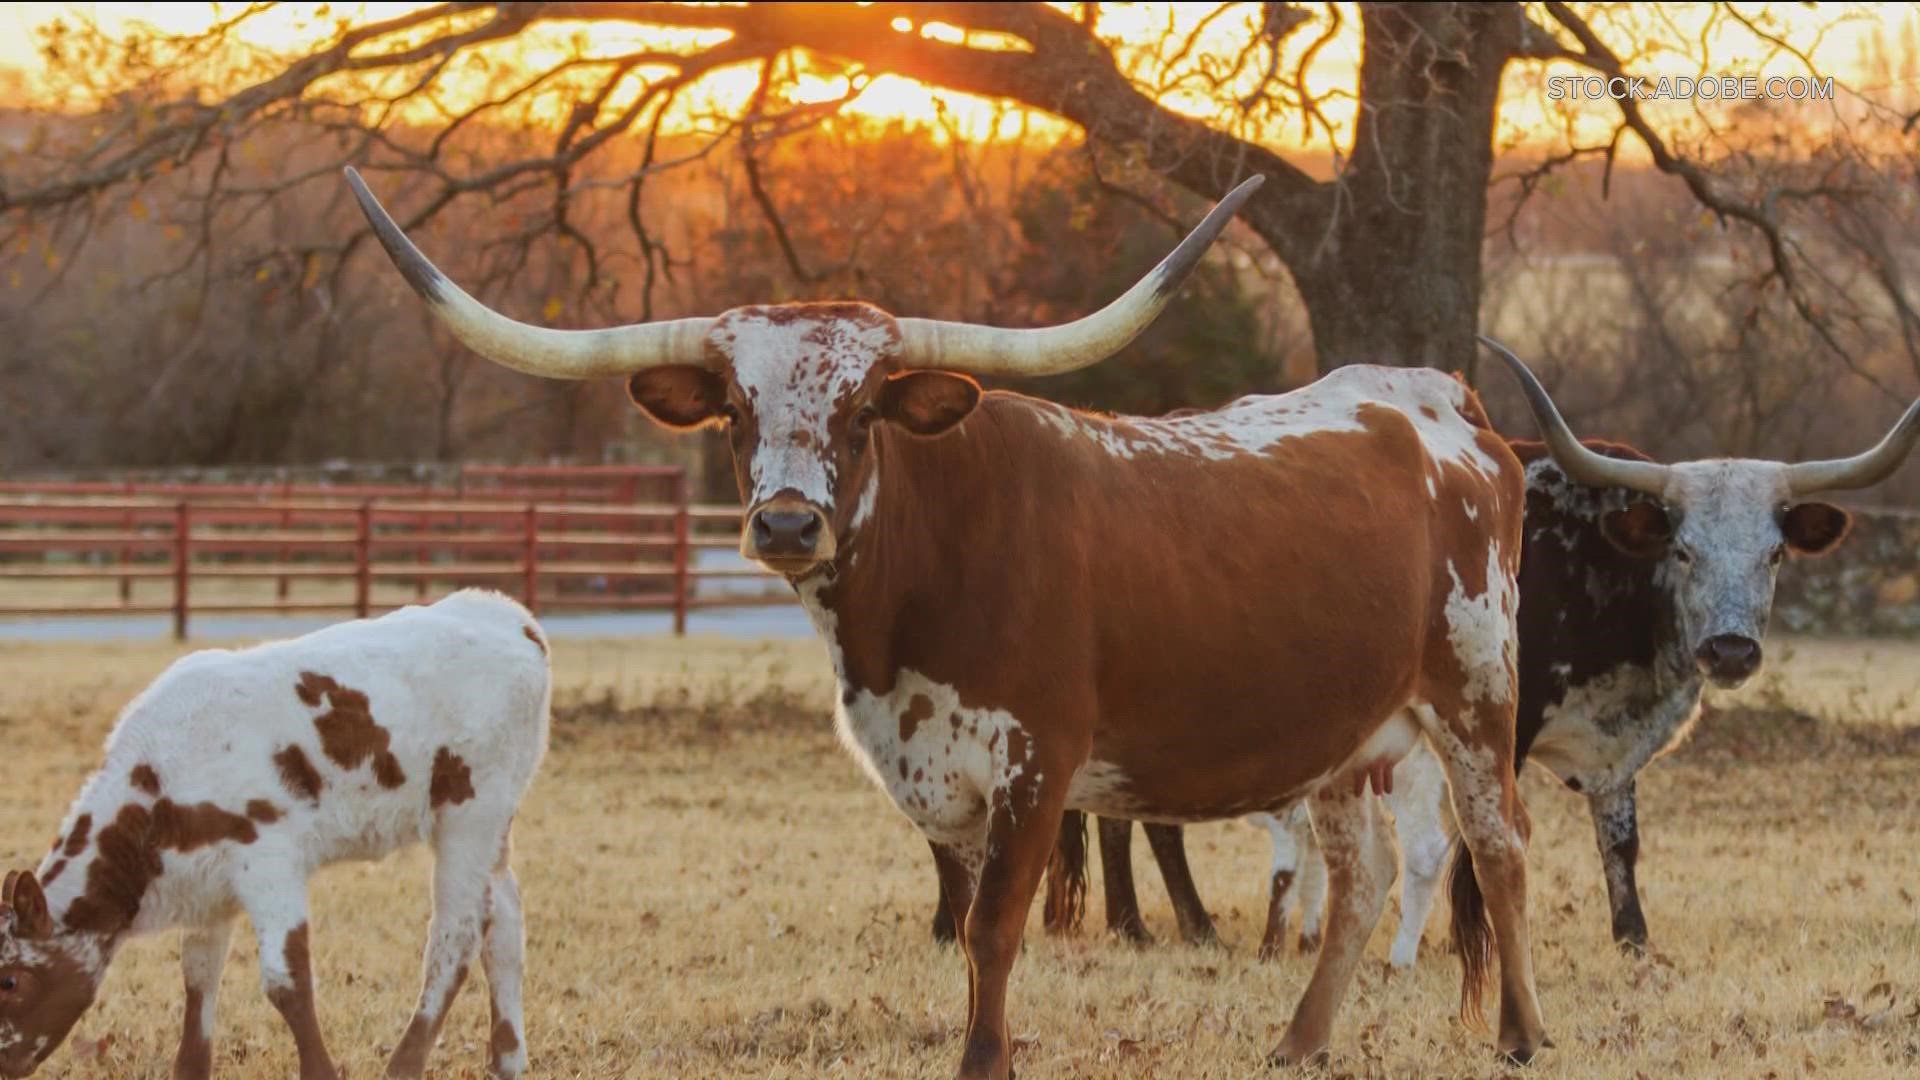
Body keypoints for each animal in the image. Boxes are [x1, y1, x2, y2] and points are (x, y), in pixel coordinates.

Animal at [0, 588, 549, 1076]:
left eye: (10, 981)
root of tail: (508, 617)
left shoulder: (268, 859)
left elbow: (288, 982)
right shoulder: (205, 883)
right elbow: (198, 977)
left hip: (470, 812)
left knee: (457, 933)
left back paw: (404, 1066)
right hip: (493, 822)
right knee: (504, 915)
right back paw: (507, 1058)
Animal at [341, 168, 1543, 1068]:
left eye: (863, 410)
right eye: (735, 410)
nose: (786, 523)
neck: (912, 601)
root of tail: (1443, 402)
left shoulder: (1036, 765)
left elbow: (998, 930)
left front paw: (984, 1059)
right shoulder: (941, 787)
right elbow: (967, 932)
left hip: (1476, 691)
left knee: (1499, 848)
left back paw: (1521, 1034)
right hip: (1348, 733)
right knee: (1361, 876)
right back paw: (1299, 1042)